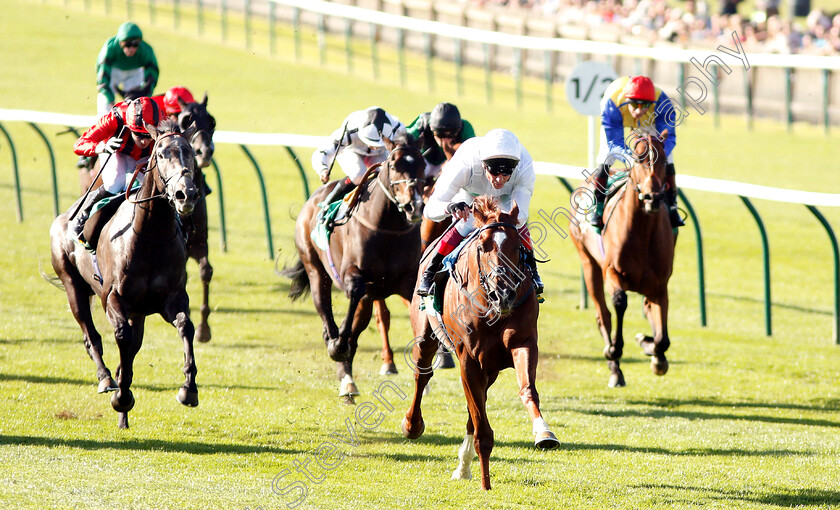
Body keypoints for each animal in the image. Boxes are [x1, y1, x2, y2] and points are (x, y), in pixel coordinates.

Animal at [50, 118, 200, 426]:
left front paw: (188, 389)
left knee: (131, 346)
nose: (186, 194)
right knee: (91, 336)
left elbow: (185, 327)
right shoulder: (113, 298)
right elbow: (120, 336)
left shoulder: (173, 297)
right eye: (162, 154)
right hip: (72, 285)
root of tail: (63, 216)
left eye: (190, 153)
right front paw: (121, 397)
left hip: (138, 312)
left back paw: (123, 413)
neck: (151, 236)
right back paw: (107, 380)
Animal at [79, 95, 217, 342]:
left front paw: (204, 329)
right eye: (186, 119)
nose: (205, 152)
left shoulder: (199, 241)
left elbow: (205, 271)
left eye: (212, 122)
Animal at [284, 135, 426, 402]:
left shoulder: (407, 281)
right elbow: (353, 295)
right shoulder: (352, 274)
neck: (387, 229)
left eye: (423, 164)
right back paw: (342, 366)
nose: (415, 206)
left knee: (355, 328)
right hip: (316, 269)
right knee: (326, 315)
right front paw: (338, 346)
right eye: (394, 164)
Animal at [404, 196, 560, 490]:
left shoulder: (521, 344)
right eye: (482, 245)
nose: (504, 293)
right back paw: (412, 425)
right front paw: (485, 484)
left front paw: (544, 432)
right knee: (422, 374)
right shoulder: (468, 359)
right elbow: (480, 425)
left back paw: (464, 467)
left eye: (518, 246)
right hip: (425, 337)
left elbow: (526, 390)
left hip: (491, 368)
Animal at [564, 127, 676, 386]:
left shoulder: (660, 284)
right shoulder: (611, 271)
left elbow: (662, 338)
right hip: (588, 262)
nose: (653, 198)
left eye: (664, 161)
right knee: (602, 314)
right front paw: (615, 349)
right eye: (639, 159)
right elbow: (619, 302)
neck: (643, 233)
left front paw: (653, 351)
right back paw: (614, 367)